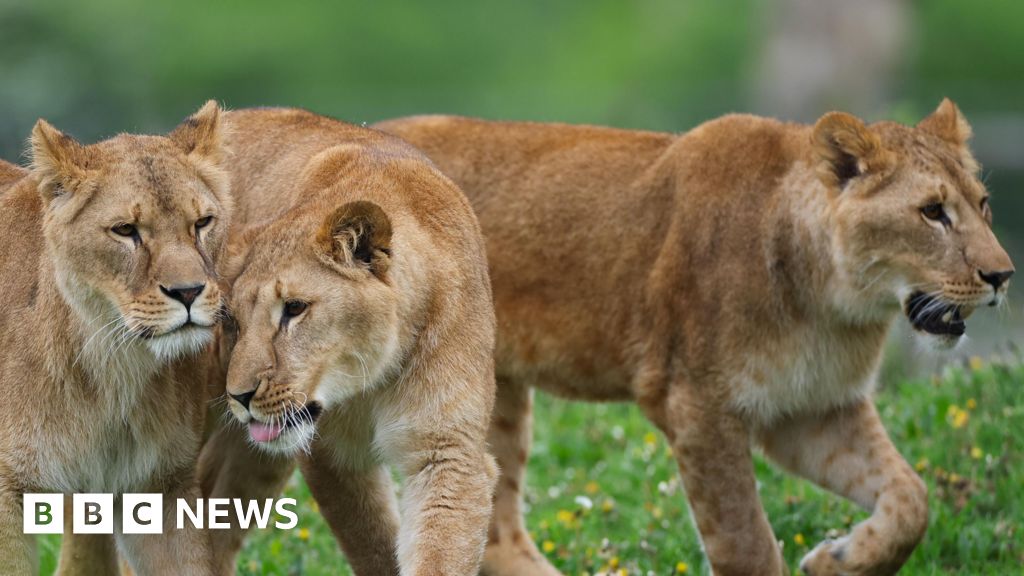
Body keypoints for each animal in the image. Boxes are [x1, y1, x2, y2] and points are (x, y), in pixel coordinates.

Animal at [197, 107, 499, 576]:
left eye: (294, 308)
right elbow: (373, 544)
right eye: (230, 321)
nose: (240, 395)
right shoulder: (332, 457)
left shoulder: (447, 452)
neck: (374, 377)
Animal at [375, 99, 1014, 576]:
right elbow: (745, 540)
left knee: (495, 524)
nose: (1003, 276)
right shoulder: (695, 402)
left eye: (983, 204)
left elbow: (911, 499)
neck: (836, 306)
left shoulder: (812, 411)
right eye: (932, 212)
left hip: (491, 394)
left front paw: (838, 560)